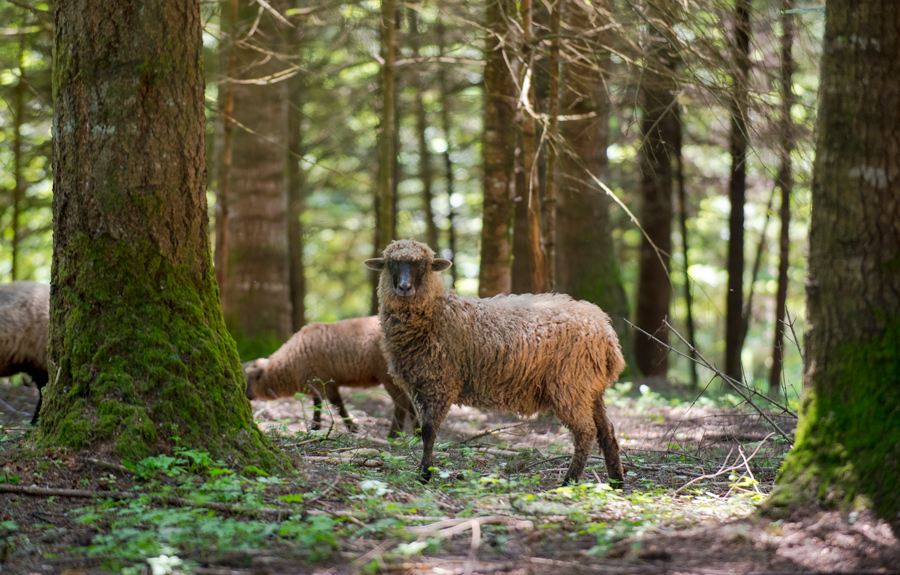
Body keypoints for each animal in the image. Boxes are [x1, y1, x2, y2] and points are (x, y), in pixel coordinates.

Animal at [243, 316, 418, 436]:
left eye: (249, 379)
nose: (244, 396)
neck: (290, 363)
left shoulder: (326, 381)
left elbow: (337, 405)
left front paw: (353, 428)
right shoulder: (316, 382)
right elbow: (317, 404)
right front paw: (315, 428)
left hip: (388, 375)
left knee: (402, 402)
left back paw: (393, 435)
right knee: (411, 402)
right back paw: (417, 432)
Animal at [366, 238, 624, 486]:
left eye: (422, 265)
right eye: (391, 263)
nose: (404, 288)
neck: (437, 313)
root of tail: (606, 332)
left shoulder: (439, 383)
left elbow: (428, 431)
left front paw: (424, 476)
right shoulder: (422, 386)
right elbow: (422, 429)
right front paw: (424, 472)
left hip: (570, 383)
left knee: (586, 432)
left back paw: (569, 481)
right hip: (589, 387)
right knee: (607, 431)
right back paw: (616, 482)